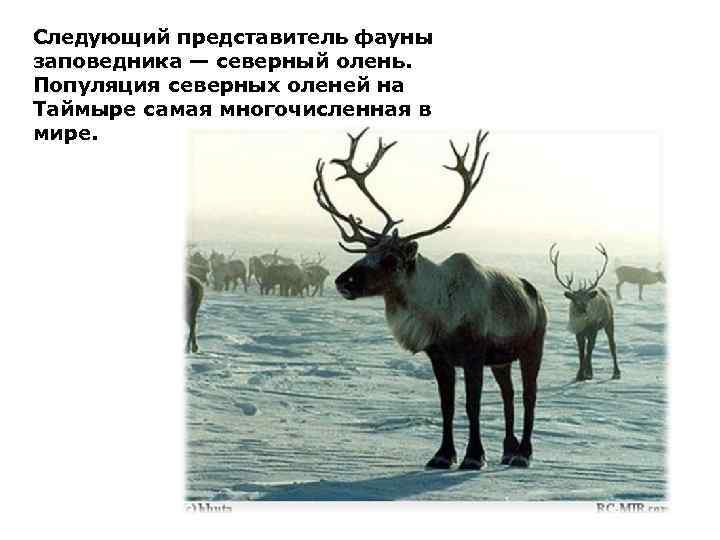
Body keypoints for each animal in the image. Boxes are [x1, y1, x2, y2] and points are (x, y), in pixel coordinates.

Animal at [313, 128, 547, 469]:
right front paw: (442, 455)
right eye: (367, 252)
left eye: (392, 260)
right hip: (501, 360)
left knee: (529, 395)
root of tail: (535, 294)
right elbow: (446, 406)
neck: (439, 308)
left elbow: (472, 405)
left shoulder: (474, 355)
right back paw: (508, 449)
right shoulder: (439, 357)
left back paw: (523, 454)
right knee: (509, 394)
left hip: (532, 346)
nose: (343, 281)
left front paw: (473, 457)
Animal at [549, 243, 620, 382]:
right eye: (575, 299)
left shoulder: (593, 328)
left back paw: (616, 373)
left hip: (609, 321)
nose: (583, 308)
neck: (582, 324)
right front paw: (579, 375)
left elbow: (589, 349)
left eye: (587, 298)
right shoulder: (578, 332)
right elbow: (581, 351)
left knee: (611, 345)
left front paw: (587, 374)